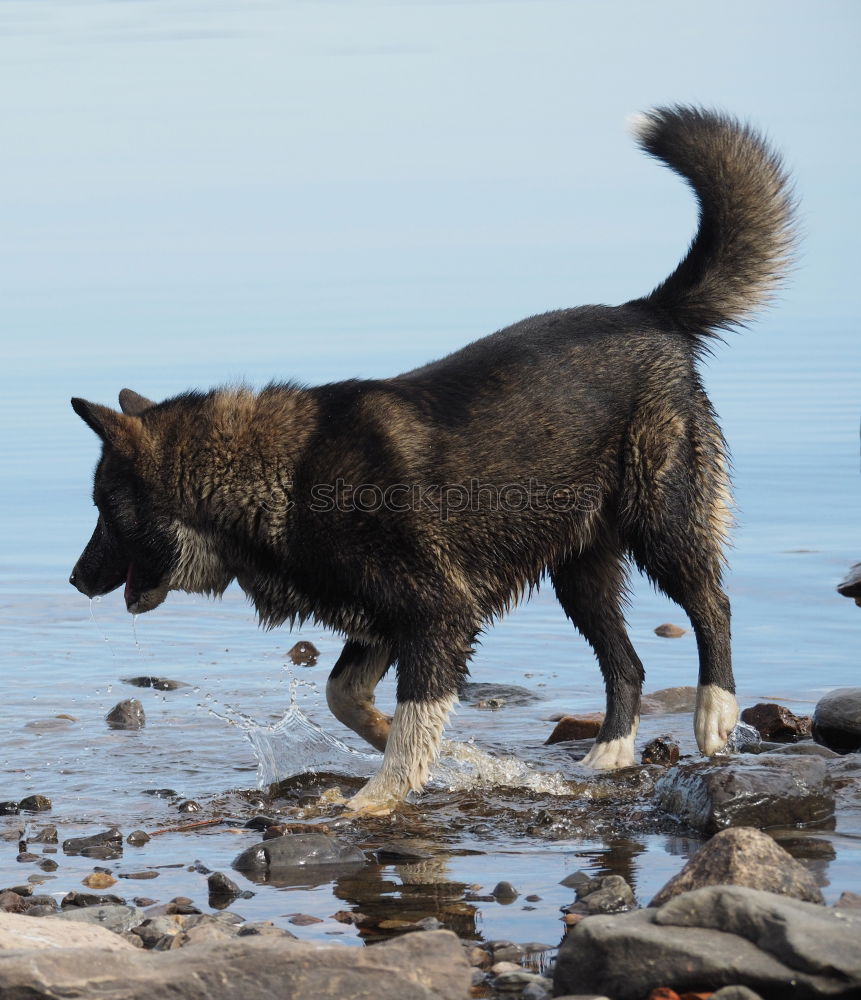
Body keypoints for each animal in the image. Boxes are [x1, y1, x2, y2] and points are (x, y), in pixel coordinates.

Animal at [70, 109, 796, 812]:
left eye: (105, 508)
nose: (76, 580)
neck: (281, 477)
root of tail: (645, 312)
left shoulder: (436, 613)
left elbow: (410, 719)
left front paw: (375, 799)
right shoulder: (383, 621)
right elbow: (347, 698)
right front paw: (441, 754)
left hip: (660, 523)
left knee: (711, 606)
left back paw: (714, 714)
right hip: (579, 569)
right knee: (628, 665)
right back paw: (609, 755)